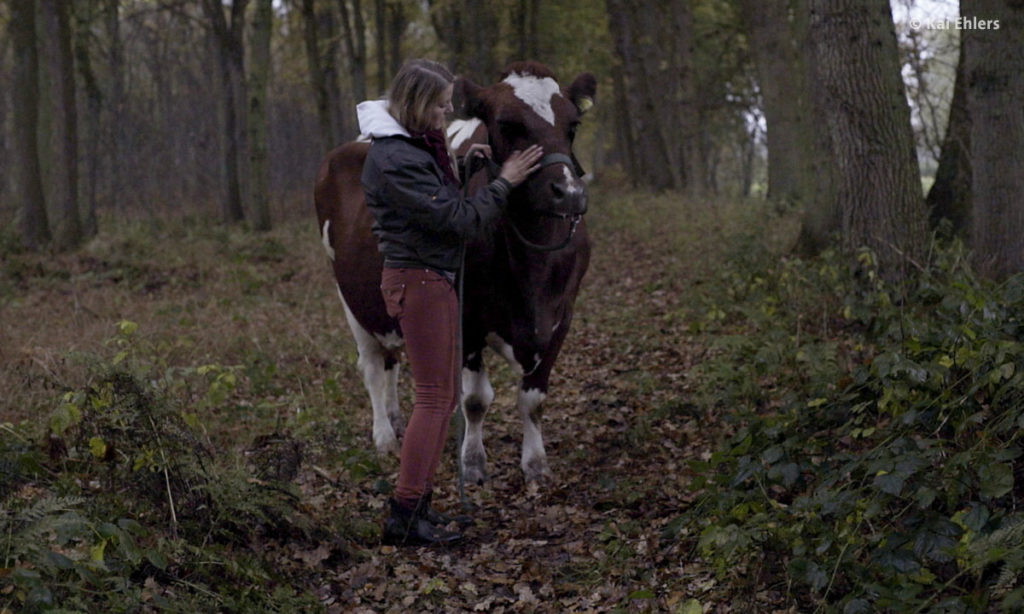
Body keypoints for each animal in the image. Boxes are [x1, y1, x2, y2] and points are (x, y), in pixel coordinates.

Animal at [315, 62, 598, 485]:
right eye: (508, 124)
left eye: (573, 124)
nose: (569, 193)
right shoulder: (467, 318)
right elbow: (476, 399)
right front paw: (473, 464)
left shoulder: (562, 316)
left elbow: (532, 399)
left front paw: (535, 465)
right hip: (351, 297)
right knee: (372, 367)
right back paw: (384, 438)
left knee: (392, 359)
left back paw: (398, 420)